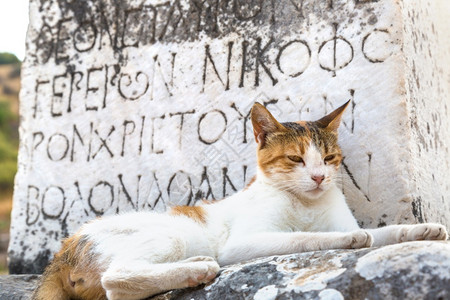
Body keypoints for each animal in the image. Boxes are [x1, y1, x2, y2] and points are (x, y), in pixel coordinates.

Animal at [33, 101, 448, 300]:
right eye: (296, 159)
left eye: (329, 159)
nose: (318, 177)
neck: (307, 203)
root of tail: (63, 248)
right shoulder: (245, 242)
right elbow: (303, 238)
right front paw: (345, 240)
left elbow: (385, 233)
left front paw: (424, 230)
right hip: (170, 235)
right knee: (116, 282)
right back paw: (196, 269)